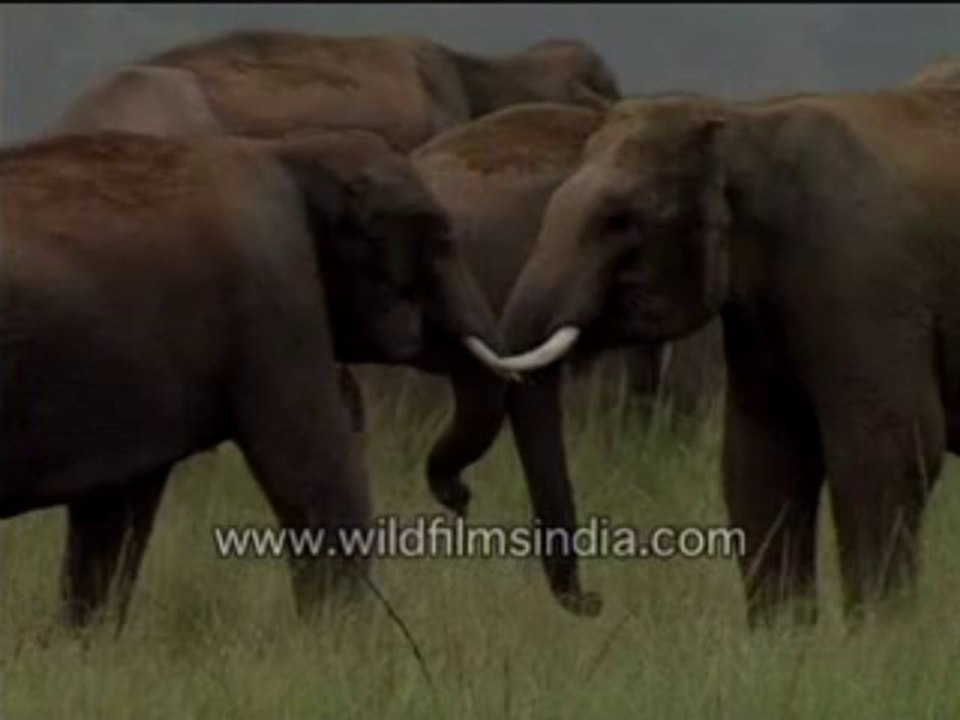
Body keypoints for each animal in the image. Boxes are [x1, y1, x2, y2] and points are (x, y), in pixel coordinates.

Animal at [0, 127, 505, 628]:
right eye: (442, 238)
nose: (459, 498)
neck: (289, 151)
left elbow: (114, 511)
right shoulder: (274, 294)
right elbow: (315, 468)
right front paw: (339, 639)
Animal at [491, 87, 960, 627]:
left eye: (620, 221)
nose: (595, 601)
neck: (746, 124)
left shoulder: (868, 282)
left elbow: (889, 448)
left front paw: (881, 640)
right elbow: (762, 457)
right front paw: (786, 641)